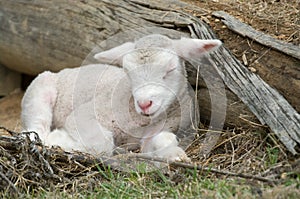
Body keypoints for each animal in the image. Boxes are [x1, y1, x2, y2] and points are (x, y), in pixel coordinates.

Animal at [21, 34, 221, 162]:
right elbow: (102, 143)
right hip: (39, 91)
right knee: (35, 130)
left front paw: (176, 155)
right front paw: (60, 139)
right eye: (127, 71)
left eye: (171, 69)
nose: (144, 104)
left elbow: (162, 141)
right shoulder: (84, 115)